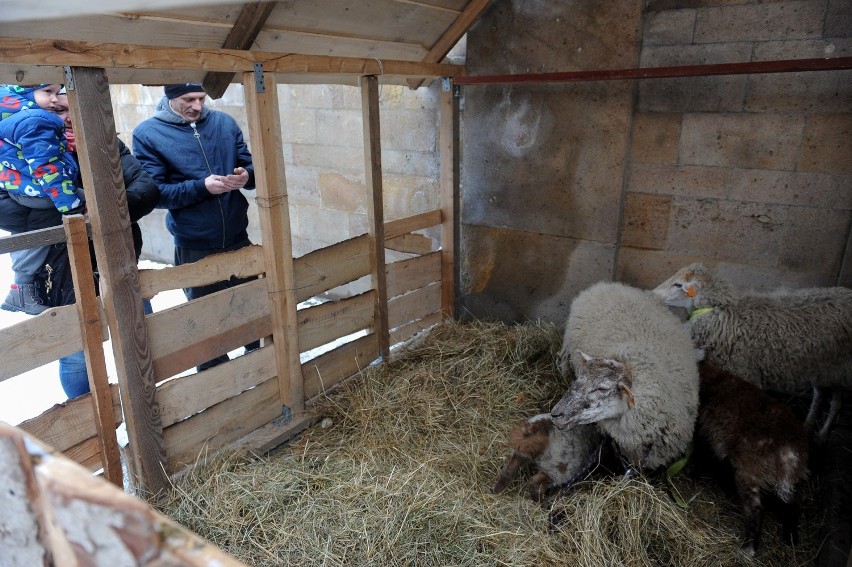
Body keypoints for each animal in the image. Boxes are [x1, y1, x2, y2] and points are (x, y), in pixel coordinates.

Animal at [652, 262, 852, 440]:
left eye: (678, 285)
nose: (652, 294)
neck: (721, 313)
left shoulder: (743, 376)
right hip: (820, 368)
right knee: (820, 396)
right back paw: (808, 424)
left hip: (840, 371)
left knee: (836, 403)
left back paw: (822, 434)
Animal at [696, 362, 808, 556]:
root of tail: (790, 452)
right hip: (790, 481)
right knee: (796, 502)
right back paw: (791, 537)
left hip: (750, 471)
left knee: (755, 509)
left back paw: (747, 549)